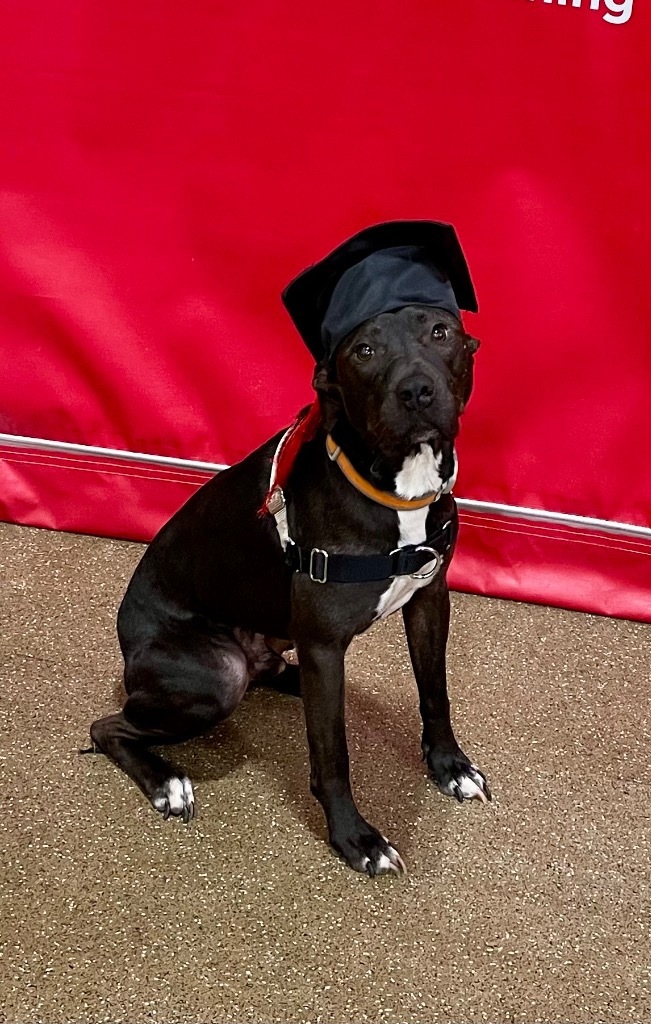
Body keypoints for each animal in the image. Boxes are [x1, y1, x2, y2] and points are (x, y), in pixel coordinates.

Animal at [89, 220, 491, 876]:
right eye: (363, 351)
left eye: (441, 332)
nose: (416, 391)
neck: (393, 486)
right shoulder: (326, 643)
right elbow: (333, 755)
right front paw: (355, 838)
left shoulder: (429, 599)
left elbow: (435, 692)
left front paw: (449, 767)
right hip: (215, 675)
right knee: (110, 727)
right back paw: (165, 782)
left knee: (279, 674)